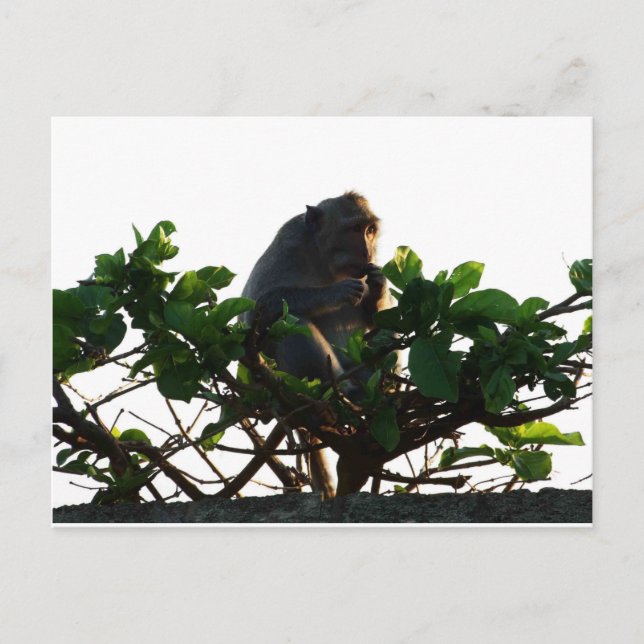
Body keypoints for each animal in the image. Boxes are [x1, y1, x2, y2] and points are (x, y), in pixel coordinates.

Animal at [241, 191, 391, 498]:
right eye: (355, 229)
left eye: (370, 230)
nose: (368, 252)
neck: (324, 261)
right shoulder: (287, 246)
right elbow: (259, 309)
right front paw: (337, 291)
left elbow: (380, 316)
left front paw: (379, 285)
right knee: (288, 321)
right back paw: (338, 398)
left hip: (360, 368)